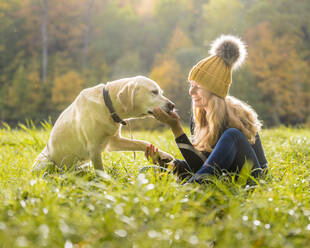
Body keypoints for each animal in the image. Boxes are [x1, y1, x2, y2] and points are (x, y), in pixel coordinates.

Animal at [32, 74, 176, 173]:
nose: (172, 105)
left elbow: (142, 143)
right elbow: (100, 171)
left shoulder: (113, 142)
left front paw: (163, 155)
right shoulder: (94, 148)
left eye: (160, 92)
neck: (107, 105)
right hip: (46, 163)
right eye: (154, 92)